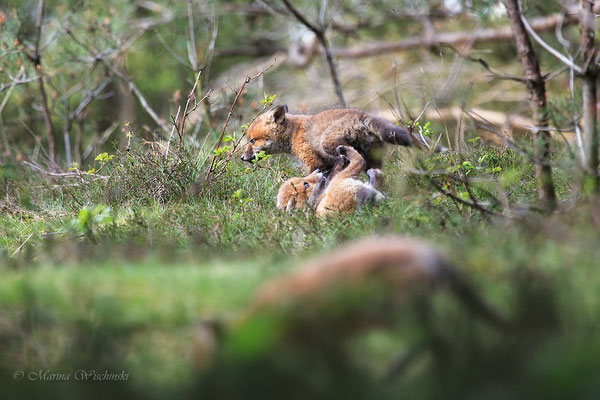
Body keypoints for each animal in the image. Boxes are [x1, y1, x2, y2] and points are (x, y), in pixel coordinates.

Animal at [239, 104, 426, 172]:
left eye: (252, 141)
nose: (242, 158)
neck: (294, 133)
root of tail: (363, 115)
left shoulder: (315, 163)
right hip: (373, 159)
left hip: (329, 145)